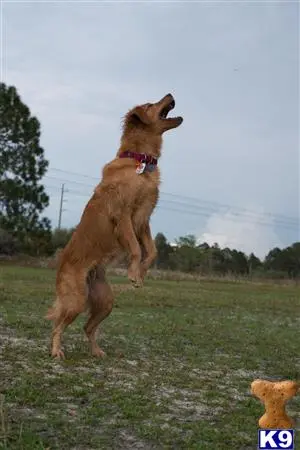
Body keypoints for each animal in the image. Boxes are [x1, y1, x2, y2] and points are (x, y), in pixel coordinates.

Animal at [46, 92, 183, 358]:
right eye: (150, 104)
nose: (171, 94)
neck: (140, 162)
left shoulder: (143, 220)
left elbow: (152, 251)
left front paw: (141, 273)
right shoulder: (124, 217)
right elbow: (137, 249)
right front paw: (133, 274)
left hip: (106, 300)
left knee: (88, 327)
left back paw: (96, 351)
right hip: (77, 299)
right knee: (57, 324)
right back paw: (57, 351)